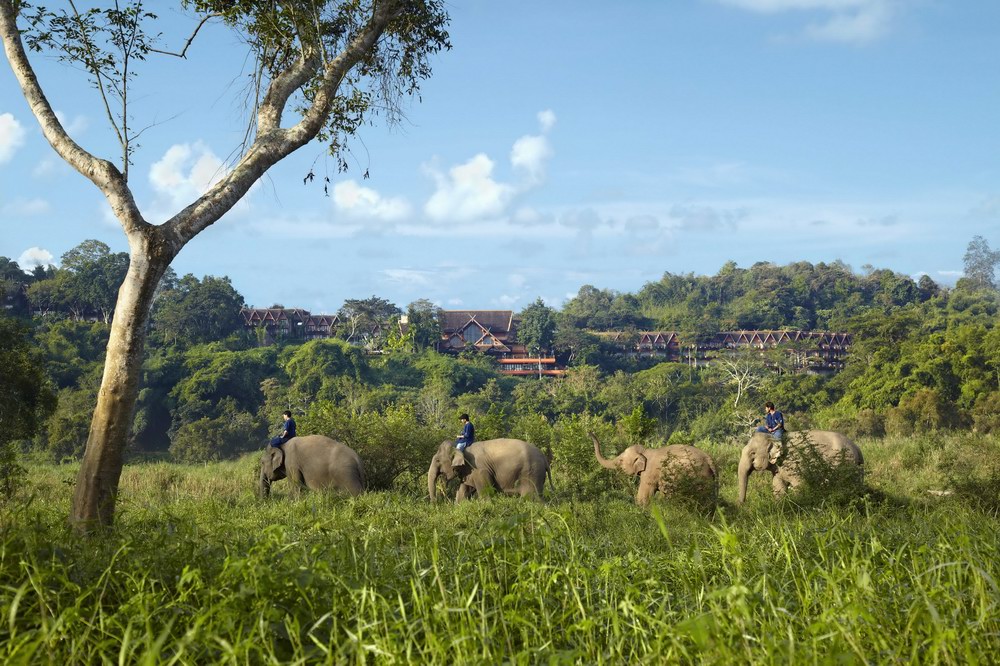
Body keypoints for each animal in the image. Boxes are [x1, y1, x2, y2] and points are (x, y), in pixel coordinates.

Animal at [588, 430, 716, 504]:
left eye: (620, 460)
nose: (589, 432)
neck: (645, 450)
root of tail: (709, 460)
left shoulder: (649, 473)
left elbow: (644, 496)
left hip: (697, 476)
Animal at [736, 428, 868, 500]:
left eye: (752, 453)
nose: (742, 505)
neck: (773, 437)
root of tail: (857, 448)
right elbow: (778, 487)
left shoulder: (795, 463)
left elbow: (799, 485)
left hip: (846, 463)